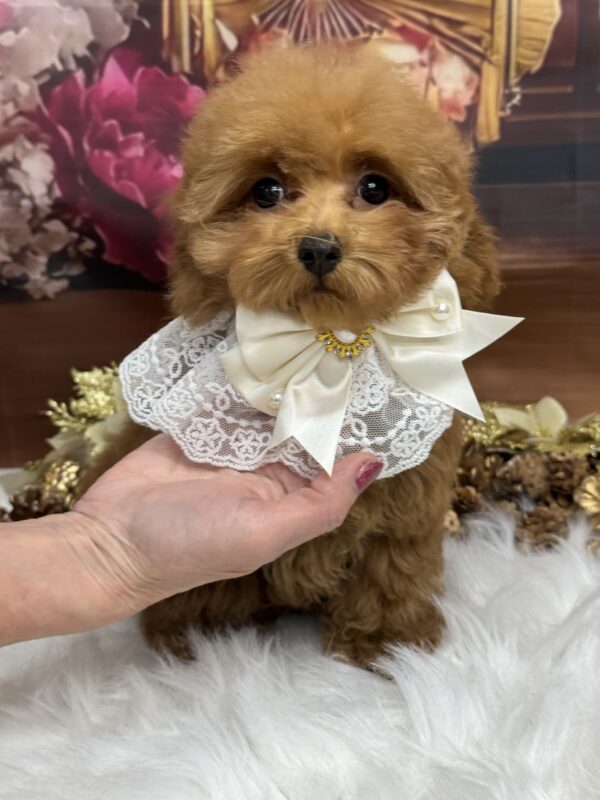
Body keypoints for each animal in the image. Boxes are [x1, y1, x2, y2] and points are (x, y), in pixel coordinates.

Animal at [83, 45, 499, 667]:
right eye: (267, 192)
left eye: (375, 188)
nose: (319, 247)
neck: (331, 347)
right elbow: (206, 583)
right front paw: (200, 633)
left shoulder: (407, 496)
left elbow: (391, 562)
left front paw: (386, 642)